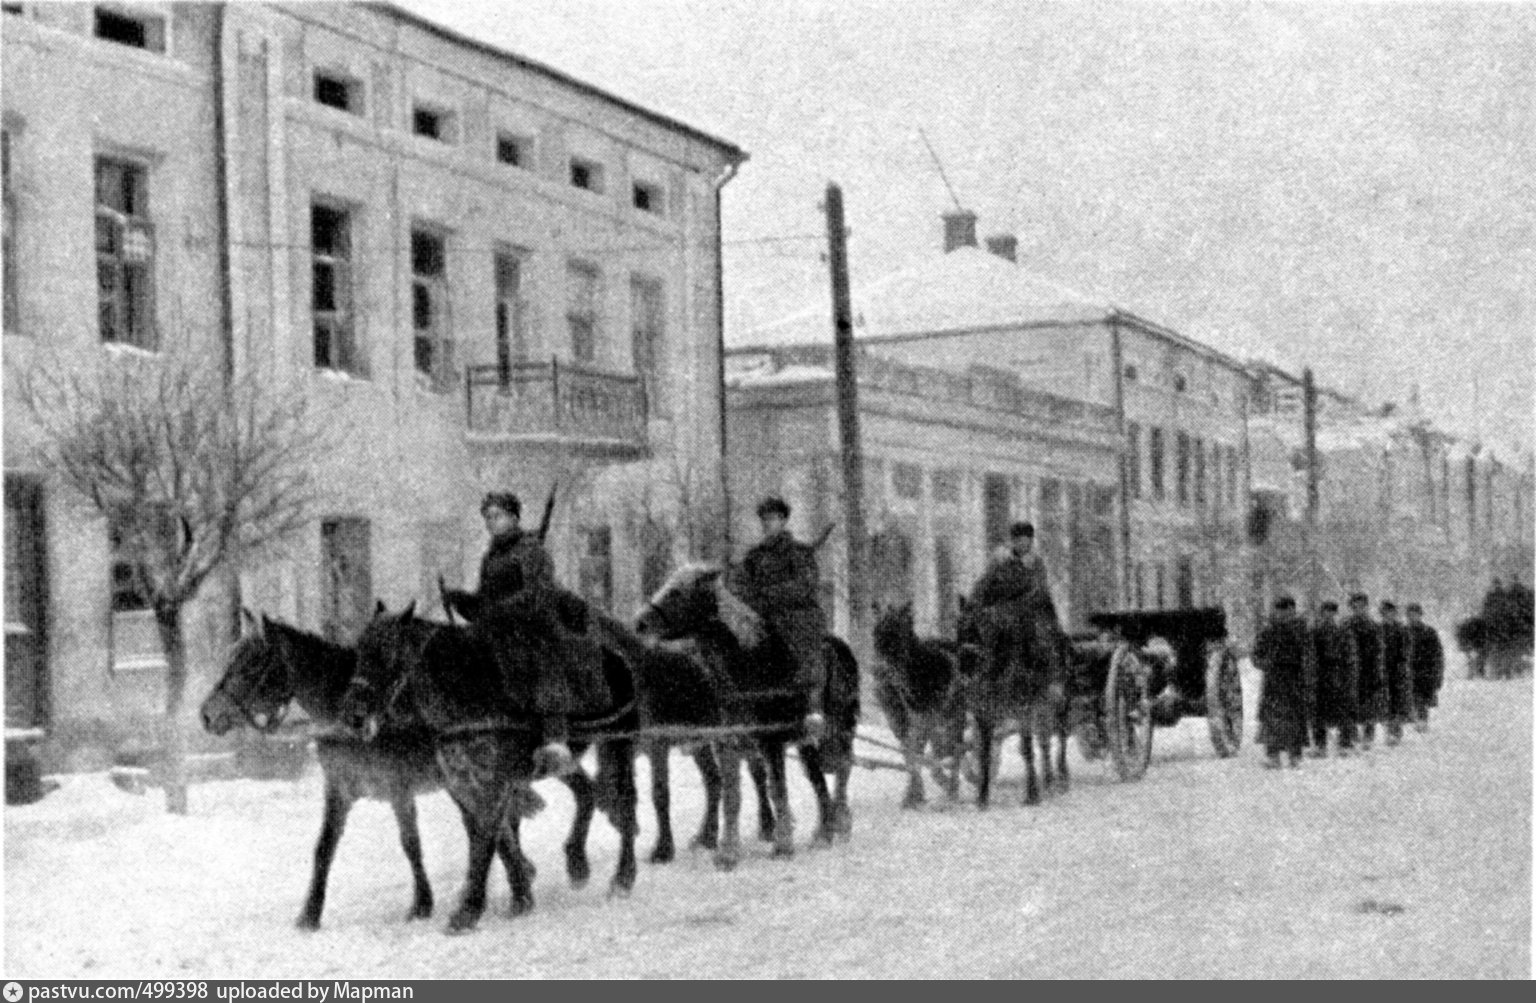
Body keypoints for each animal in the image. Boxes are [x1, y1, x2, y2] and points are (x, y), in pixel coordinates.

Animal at [198, 611, 537, 933]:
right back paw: (519, 888)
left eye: (252, 665)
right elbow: (324, 848)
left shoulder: (398, 788)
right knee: (494, 825)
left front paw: (421, 904)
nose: (207, 715)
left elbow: (411, 844)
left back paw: (515, 892)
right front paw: (310, 914)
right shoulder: (338, 790)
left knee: (492, 824)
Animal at [342, 595, 642, 933]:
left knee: (626, 801)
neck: (466, 695)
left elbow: (487, 837)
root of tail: (615, 656)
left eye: (386, 653)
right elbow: (495, 836)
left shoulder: (494, 781)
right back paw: (577, 861)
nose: (353, 715)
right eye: (360, 651)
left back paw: (622, 878)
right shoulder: (462, 783)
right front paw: (520, 896)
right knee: (587, 791)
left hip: (619, 743)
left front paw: (469, 911)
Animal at [629, 562, 860, 866]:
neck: (747, 665)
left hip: (840, 729)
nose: (640, 623)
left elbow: (777, 790)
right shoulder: (726, 741)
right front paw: (727, 852)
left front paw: (783, 845)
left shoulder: (771, 741)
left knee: (842, 768)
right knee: (818, 778)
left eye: (677, 592)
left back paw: (840, 825)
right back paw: (823, 831)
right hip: (805, 740)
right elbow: (730, 794)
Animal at [872, 602, 964, 804]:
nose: (879, 671)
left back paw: (952, 788)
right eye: (875, 633)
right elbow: (911, 754)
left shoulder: (927, 717)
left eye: (898, 633)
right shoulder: (900, 721)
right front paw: (913, 794)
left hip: (955, 714)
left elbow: (920, 753)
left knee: (955, 747)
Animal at [958, 595, 1069, 804]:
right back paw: (1049, 781)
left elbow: (1026, 749)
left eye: (984, 629)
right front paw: (982, 797)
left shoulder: (1024, 709)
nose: (966, 669)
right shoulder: (984, 713)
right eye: (958, 627)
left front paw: (1032, 793)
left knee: (1060, 738)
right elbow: (984, 752)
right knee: (1044, 741)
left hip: (1057, 701)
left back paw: (1061, 779)